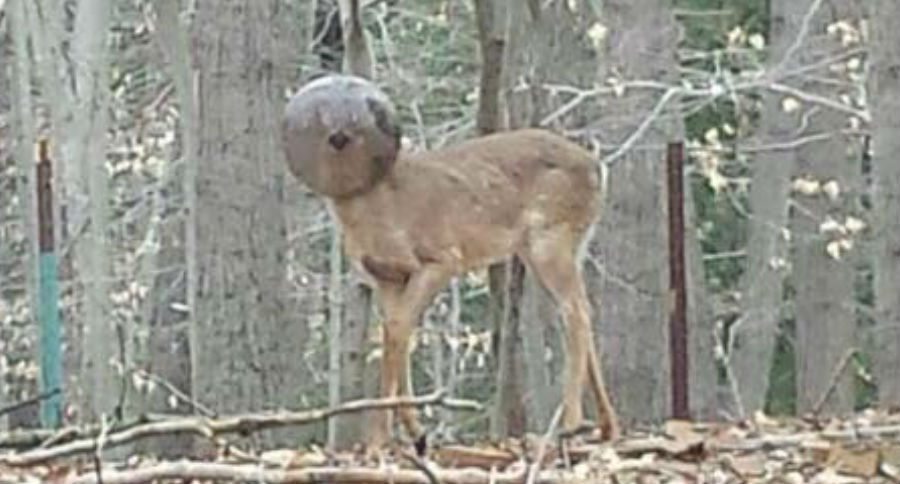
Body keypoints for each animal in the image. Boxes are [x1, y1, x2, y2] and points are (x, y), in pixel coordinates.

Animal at [281, 74, 620, 452]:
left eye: (362, 118)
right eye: (323, 118)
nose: (340, 135)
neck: (380, 209)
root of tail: (597, 167)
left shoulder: (441, 258)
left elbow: (398, 330)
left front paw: (387, 436)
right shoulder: (387, 277)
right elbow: (396, 331)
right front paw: (407, 434)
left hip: (550, 239)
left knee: (576, 312)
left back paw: (571, 425)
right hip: (561, 245)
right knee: (581, 310)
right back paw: (607, 428)